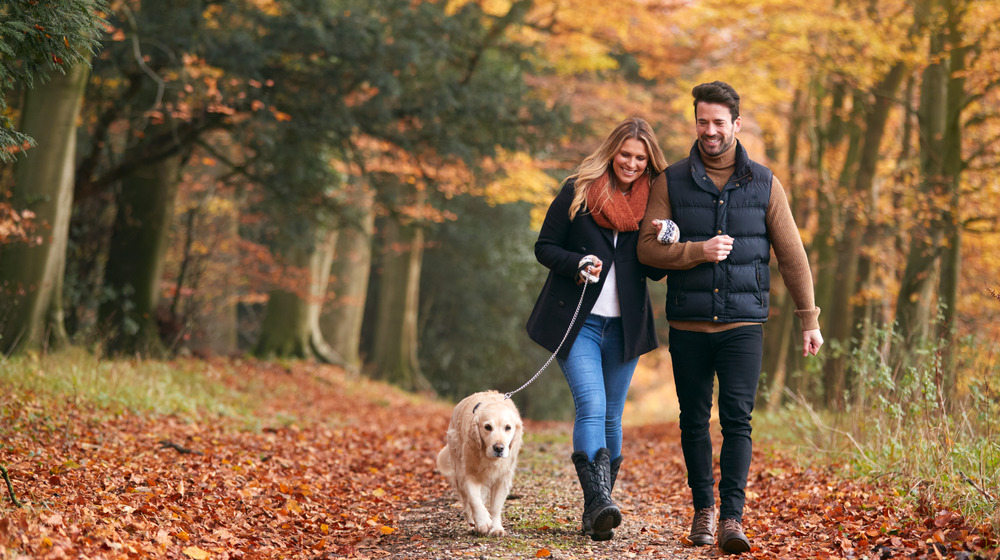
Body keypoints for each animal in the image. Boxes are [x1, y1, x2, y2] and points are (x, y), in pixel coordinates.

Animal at [436, 392, 524, 536]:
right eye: (487, 427)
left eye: (508, 427)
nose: (499, 448)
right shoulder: (468, 474)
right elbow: (474, 500)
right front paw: (483, 523)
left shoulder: (502, 478)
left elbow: (495, 507)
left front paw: (496, 528)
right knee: (466, 504)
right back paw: (473, 524)